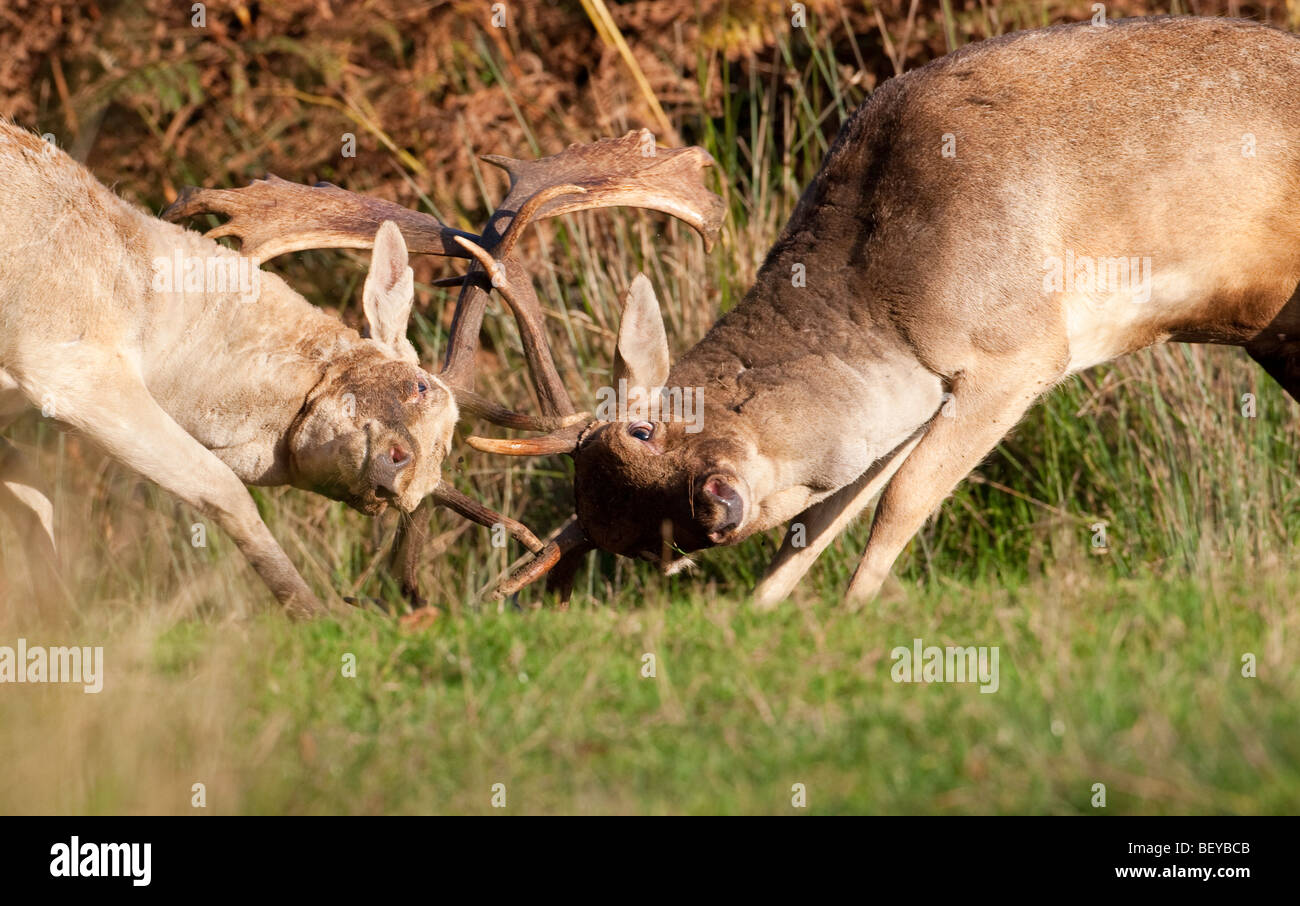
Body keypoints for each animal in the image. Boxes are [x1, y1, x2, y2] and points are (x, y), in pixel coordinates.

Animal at [0, 118, 722, 616]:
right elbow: (223, 490)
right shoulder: (68, 361)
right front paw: (310, 612)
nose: (396, 470)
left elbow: (36, 507)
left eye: (419, 490)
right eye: (414, 385)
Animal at [465, 14, 1300, 603]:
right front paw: (768, 612)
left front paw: (852, 613)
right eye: (658, 550)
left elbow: (897, 504)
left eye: (643, 428)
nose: (718, 507)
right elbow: (813, 528)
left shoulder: (1023, 345)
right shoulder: (917, 392)